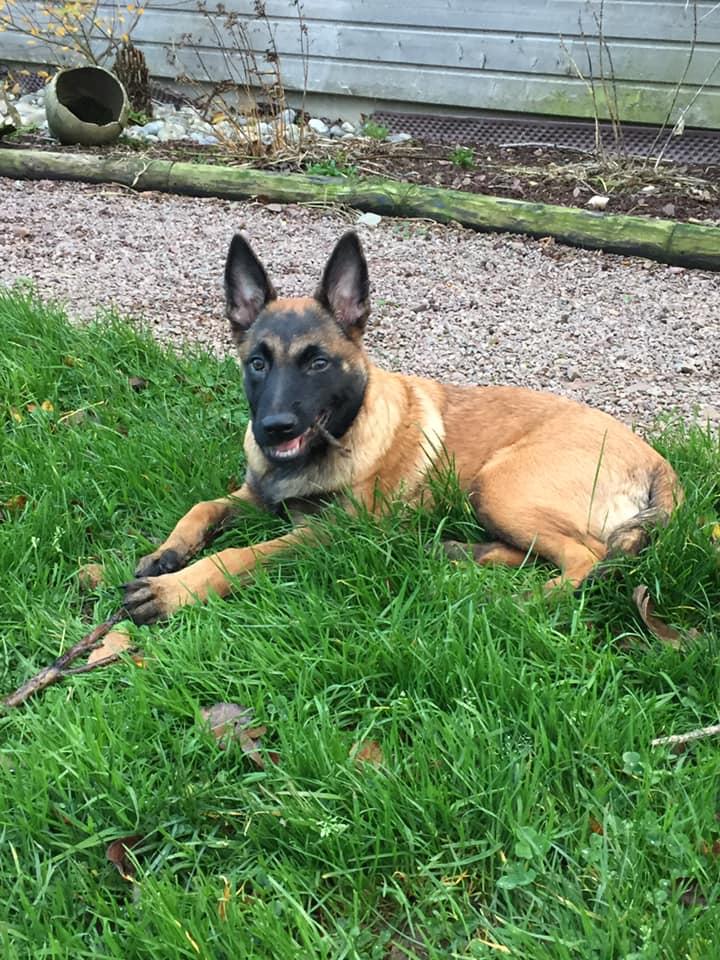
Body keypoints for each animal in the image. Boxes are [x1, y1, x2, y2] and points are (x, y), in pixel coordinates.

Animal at [122, 231, 682, 624]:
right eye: (257, 363)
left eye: (317, 363)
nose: (274, 430)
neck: (340, 433)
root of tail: (656, 459)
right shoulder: (257, 496)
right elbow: (203, 506)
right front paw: (168, 552)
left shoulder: (329, 532)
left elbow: (239, 554)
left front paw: (176, 590)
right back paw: (460, 552)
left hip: (499, 485)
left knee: (586, 555)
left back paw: (527, 600)